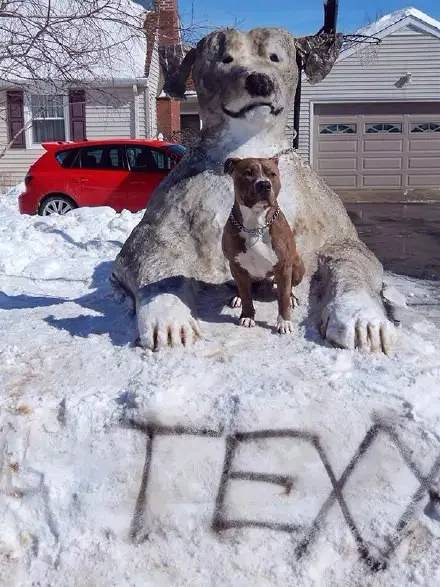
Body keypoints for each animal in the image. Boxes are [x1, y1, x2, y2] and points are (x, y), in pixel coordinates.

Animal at [222, 157, 304, 336]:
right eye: (248, 173)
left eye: (272, 174)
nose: (264, 184)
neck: (256, 224)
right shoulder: (236, 265)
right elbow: (246, 295)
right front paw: (247, 316)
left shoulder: (284, 266)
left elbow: (283, 299)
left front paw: (284, 322)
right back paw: (237, 296)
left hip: (298, 266)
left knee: (290, 287)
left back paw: (292, 297)